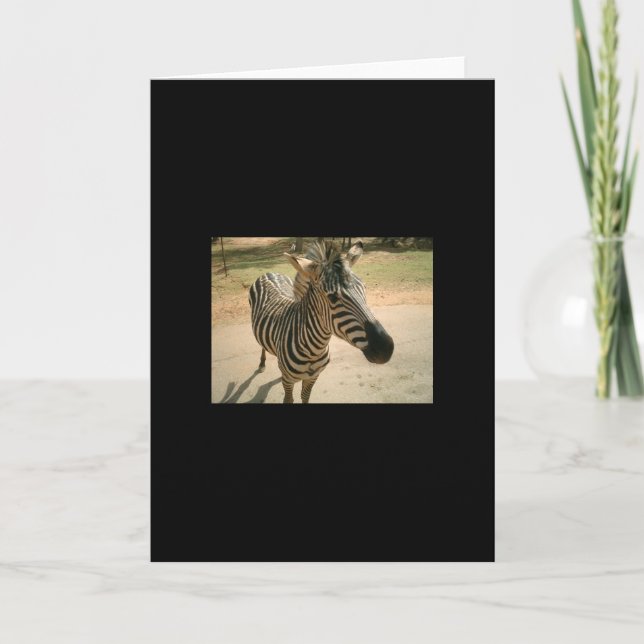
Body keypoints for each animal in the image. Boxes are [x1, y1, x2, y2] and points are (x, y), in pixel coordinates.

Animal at [248, 239, 394, 403]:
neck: (314, 350)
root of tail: (269, 273)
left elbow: (305, 396)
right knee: (262, 346)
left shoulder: (313, 377)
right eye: (332, 298)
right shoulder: (288, 380)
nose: (386, 349)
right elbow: (289, 399)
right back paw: (261, 364)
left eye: (365, 288)